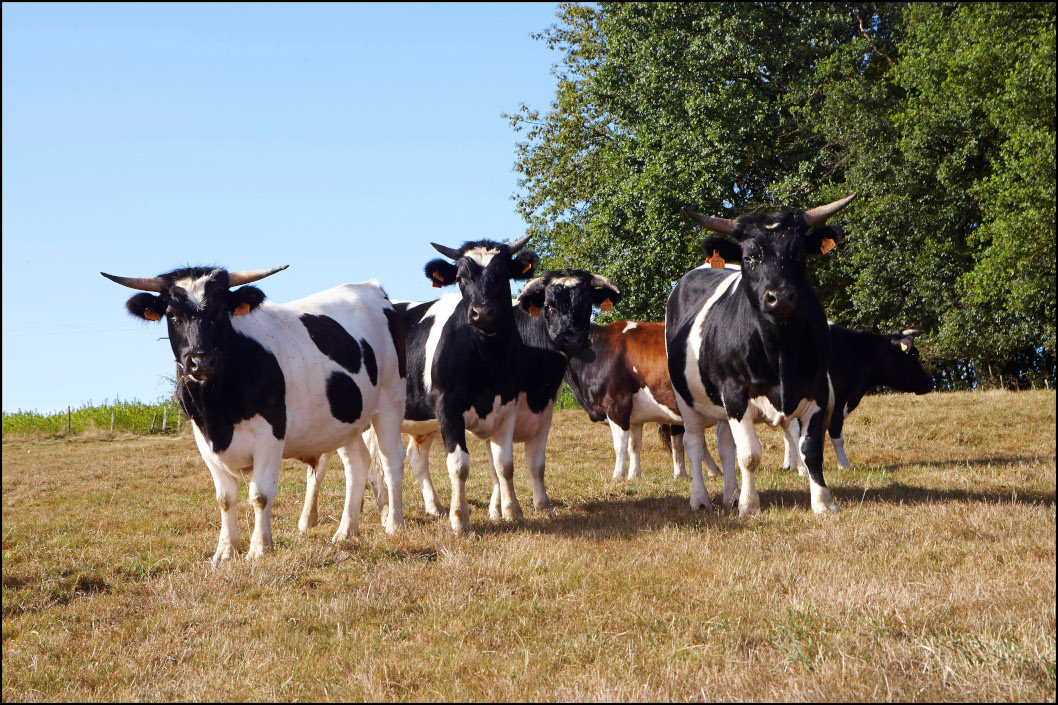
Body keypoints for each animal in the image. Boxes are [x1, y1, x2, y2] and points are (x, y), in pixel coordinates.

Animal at [103, 263, 406, 558]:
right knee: (357, 465)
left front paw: (259, 548)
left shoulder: (270, 435)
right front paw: (226, 550)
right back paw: (346, 531)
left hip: (390, 404)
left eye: (220, 312)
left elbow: (260, 495)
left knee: (391, 461)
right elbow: (225, 498)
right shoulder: (203, 440)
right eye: (173, 315)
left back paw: (394, 524)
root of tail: (372, 289)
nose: (201, 362)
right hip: (346, 421)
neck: (218, 412)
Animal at [668, 194, 859, 514]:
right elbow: (749, 455)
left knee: (725, 444)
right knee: (693, 444)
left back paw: (730, 494)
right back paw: (701, 498)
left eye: (799, 253)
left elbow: (810, 450)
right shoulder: (735, 394)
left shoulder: (817, 391)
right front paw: (749, 506)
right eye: (749, 258)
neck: (779, 351)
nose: (779, 297)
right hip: (688, 401)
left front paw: (823, 502)